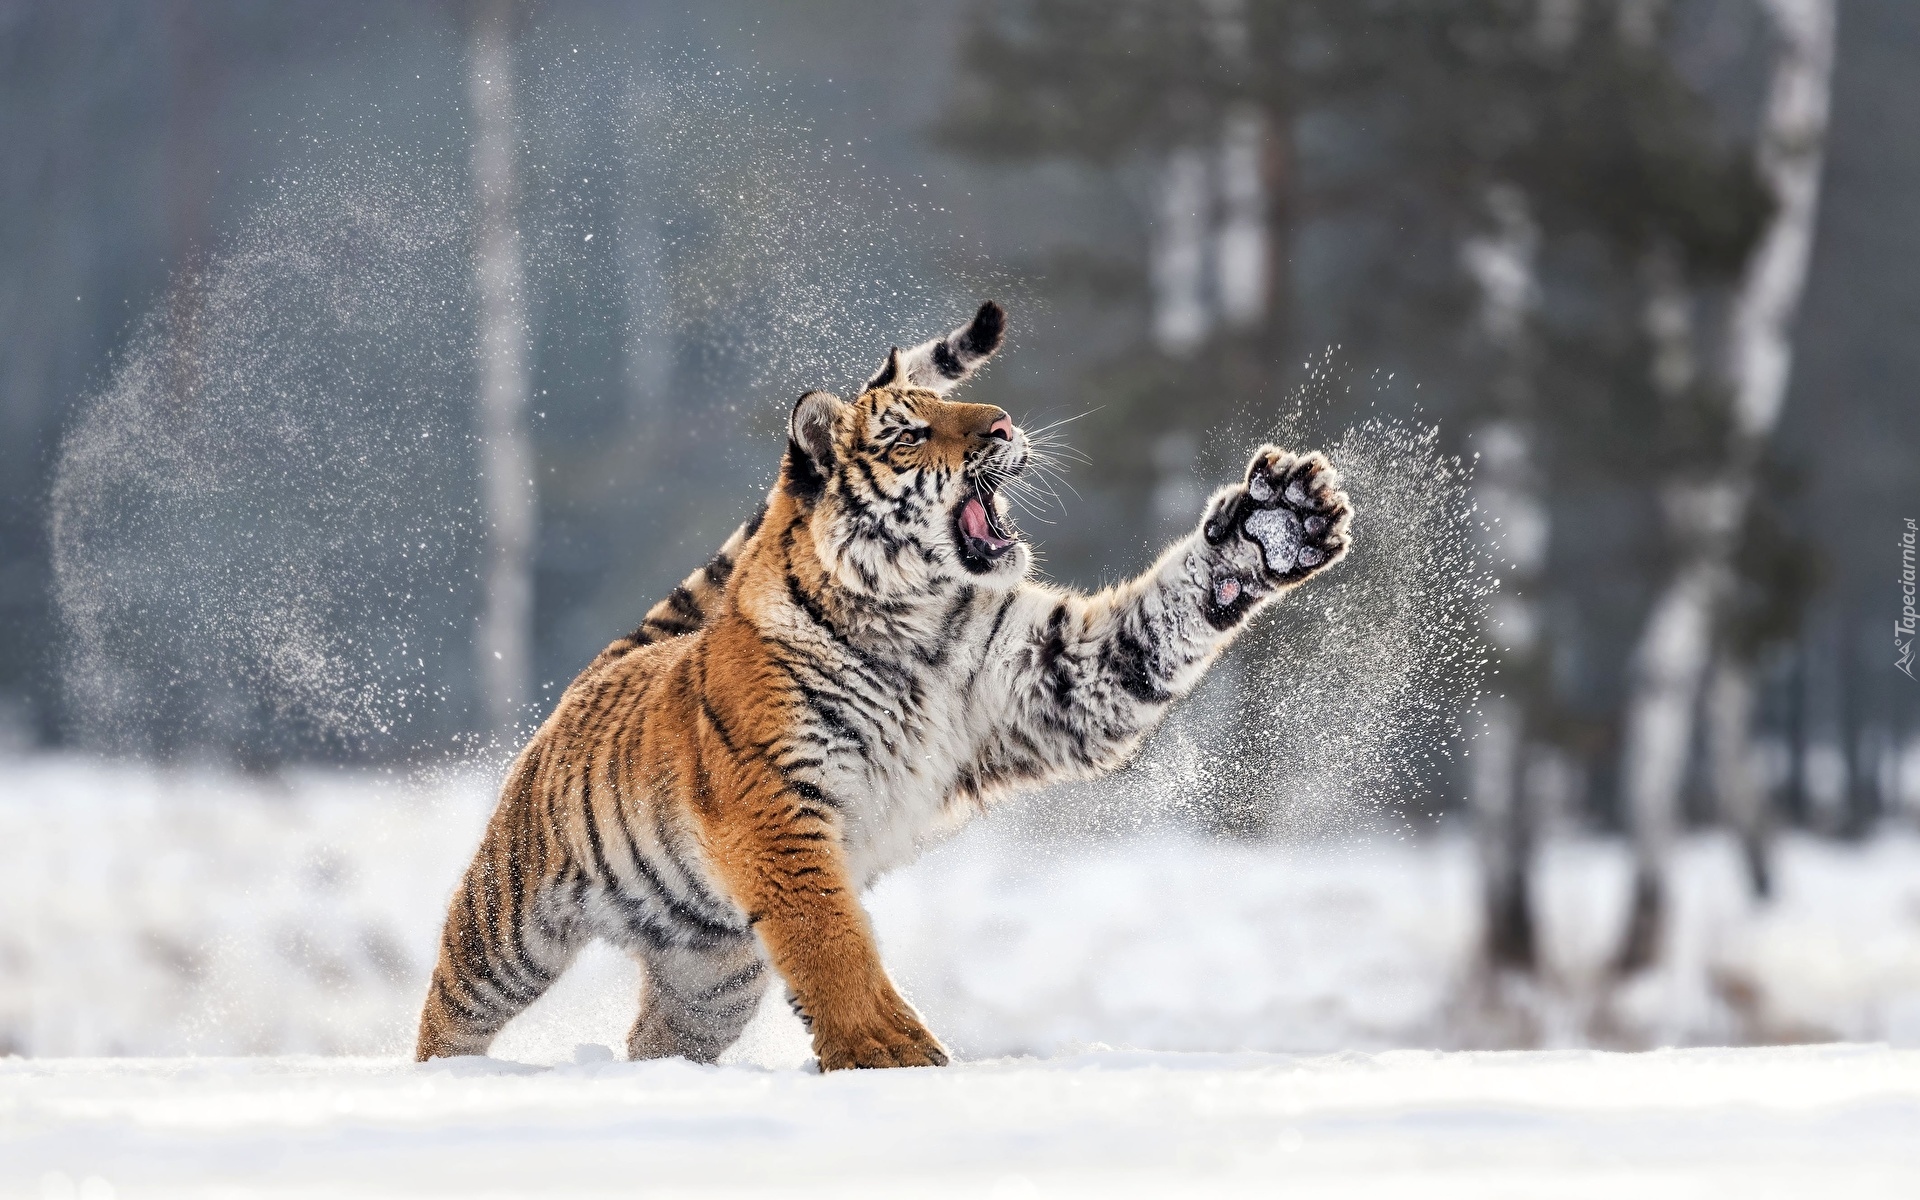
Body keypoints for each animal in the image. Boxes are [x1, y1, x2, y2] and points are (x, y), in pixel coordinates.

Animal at [416, 299, 1351, 1067]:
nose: (1004, 423)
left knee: (660, 1038)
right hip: (508, 927)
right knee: (452, 1012)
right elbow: (832, 941)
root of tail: (610, 660)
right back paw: (447, 1081)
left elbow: (1162, 620)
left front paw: (1275, 525)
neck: (918, 622)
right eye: (909, 432)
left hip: (710, 976)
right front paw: (888, 1053)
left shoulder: (1059, 683)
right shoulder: (776, 802)